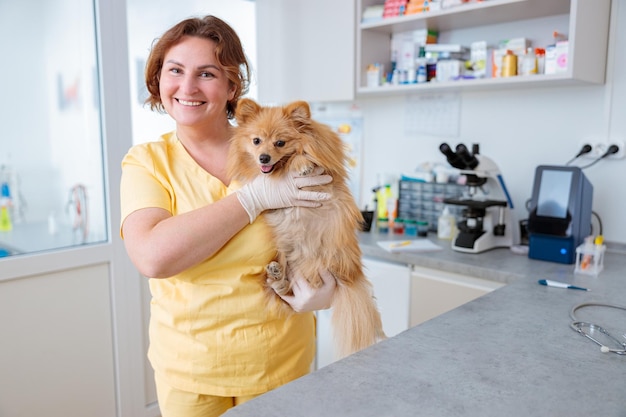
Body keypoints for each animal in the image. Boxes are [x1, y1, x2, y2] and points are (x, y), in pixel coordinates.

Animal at [228, 98, 386, 358]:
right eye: (256, 141)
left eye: (280, 143)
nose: (263, 158)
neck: (280, 170)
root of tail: (353, 274)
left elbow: (305, 156)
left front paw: (302, 164)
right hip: (285, 254)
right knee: (283, 289)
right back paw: (276, 275)